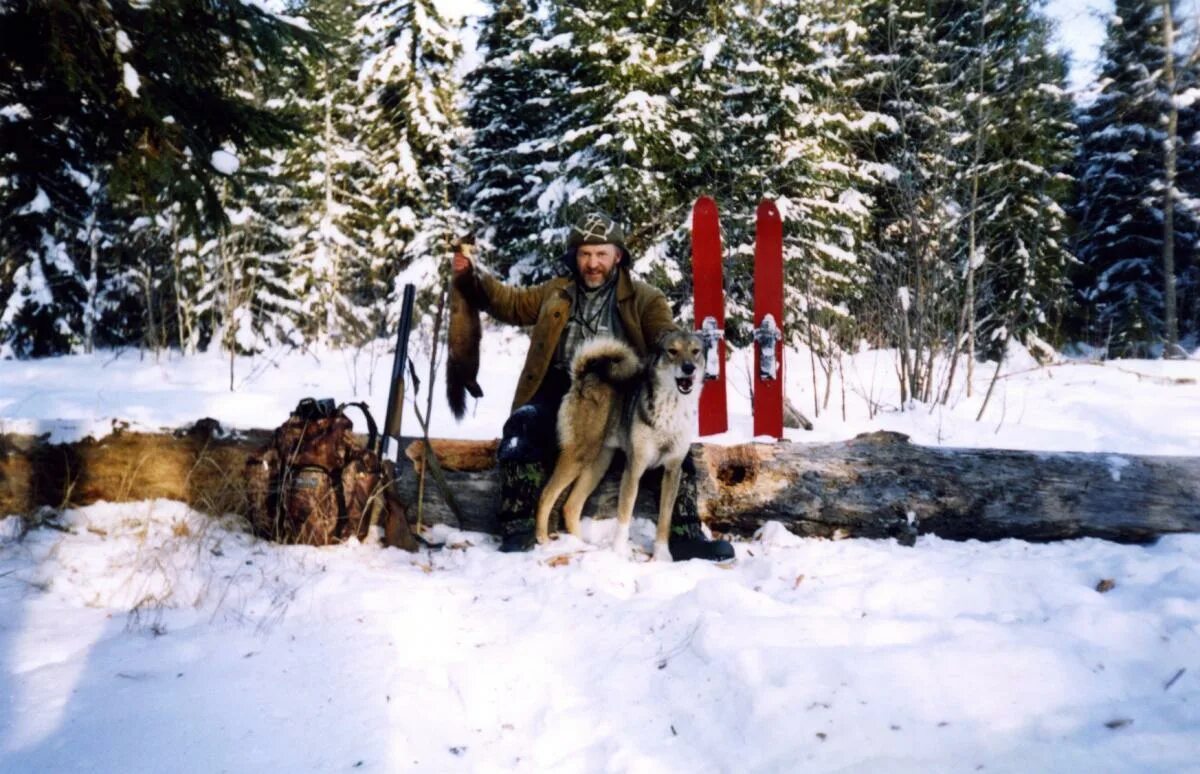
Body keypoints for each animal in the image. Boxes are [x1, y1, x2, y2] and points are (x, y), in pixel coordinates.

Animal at [532, 328, 700, 559]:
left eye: (696, 351)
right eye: (672, 351)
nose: (689, 368)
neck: (671, 406)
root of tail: (583, 376)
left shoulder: (672, 471)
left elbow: (664, 520)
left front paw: (662, 556)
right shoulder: (634, 468)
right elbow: (624, 514)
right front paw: (619, 552)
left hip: (598, 463)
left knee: (571, 505)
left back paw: (583, 545)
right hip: (579, 454)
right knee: (546, 495)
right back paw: (544, 541)